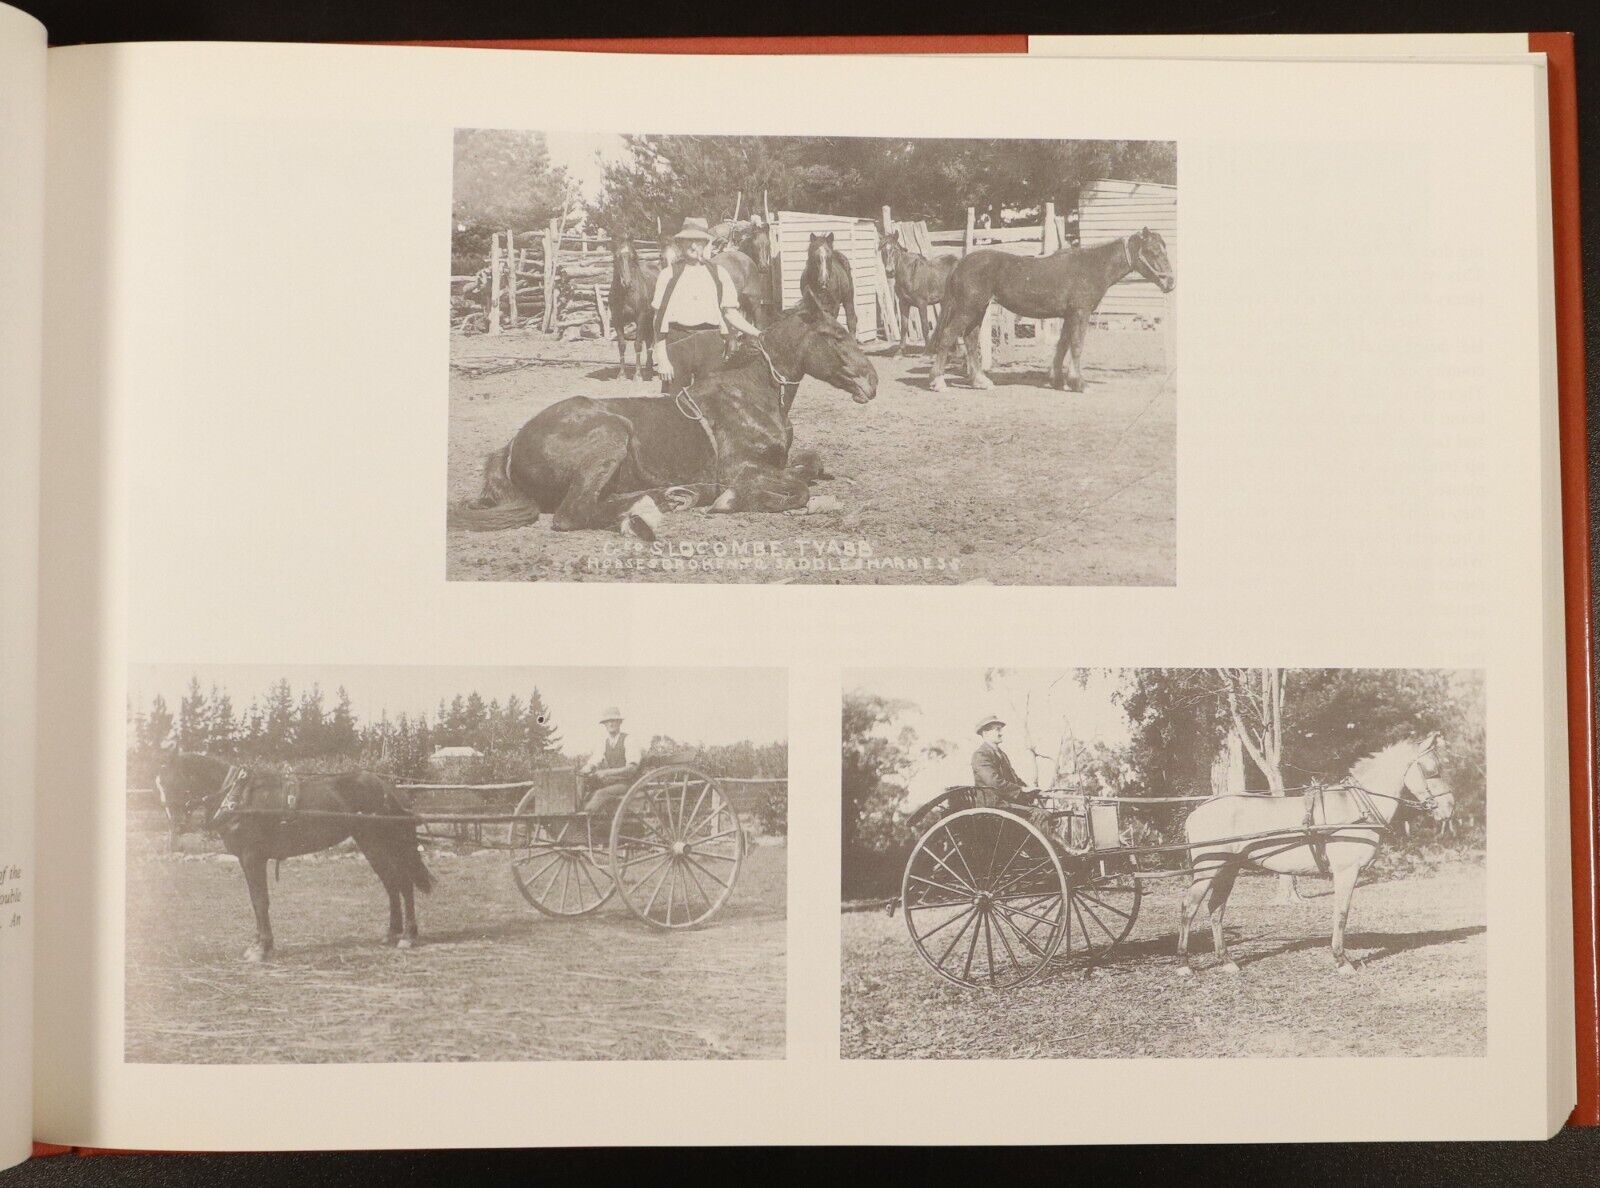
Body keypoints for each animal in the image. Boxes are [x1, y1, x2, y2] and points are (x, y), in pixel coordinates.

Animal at [157, 758, 432, 960]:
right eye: (159, 787)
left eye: (173, 783)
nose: (175, 825)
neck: (239, 798)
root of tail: (389, 789)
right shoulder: (247, 861)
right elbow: (255, 901)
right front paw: (258, 943)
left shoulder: (253, 858)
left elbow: (260, 901)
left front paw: (262, 948)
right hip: (371, 845)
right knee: (392, 884)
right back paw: (391, 933)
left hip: (384, 843)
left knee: (404, 883)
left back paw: (408, 936)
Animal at [448, 304, 876, 537]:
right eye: (835, 335)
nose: (872, 381)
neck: (751, 393)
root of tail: (511, 445)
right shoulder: (738, 470)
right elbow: (796, 490)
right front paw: (728, 502)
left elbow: (809, 465)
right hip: (612, 435)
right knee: (574, 513)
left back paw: (670, 497)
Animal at [611, 235, 662, 379]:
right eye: (617, 256)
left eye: (633, 257)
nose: (627, 282)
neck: (626, 294)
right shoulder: (617, 320)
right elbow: (622, 345)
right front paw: (622, 374)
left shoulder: (640, 318)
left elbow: (638, 344)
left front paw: (637, 375)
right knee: (649, 341)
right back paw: (648, 368)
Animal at [928, 232, 1177, 395]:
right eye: (1153, 251)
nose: (1171, 282)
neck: (1091, 267)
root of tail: (961, 263)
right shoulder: (1080, 313)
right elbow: (1076, 346)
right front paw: (1079, 383)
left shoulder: (1068, 316)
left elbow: (1063, 344)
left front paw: (1058, 381)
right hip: (967, 309)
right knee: (948, 336)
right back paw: (938, 382)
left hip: (977, 310)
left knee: (970, 340)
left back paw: (980, 381)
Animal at [1171, 736, 1459, 979]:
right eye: (1432, 769)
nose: (1449, 808)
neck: (1356, 808)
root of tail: (1198, 810)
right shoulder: (1346, 872)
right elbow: (1341, 913)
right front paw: (1342, 961)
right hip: (1208, 869)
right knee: (1189, 907)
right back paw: (1184, 964)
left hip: (1228, 870)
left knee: (1215, 909)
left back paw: (1226, 961)